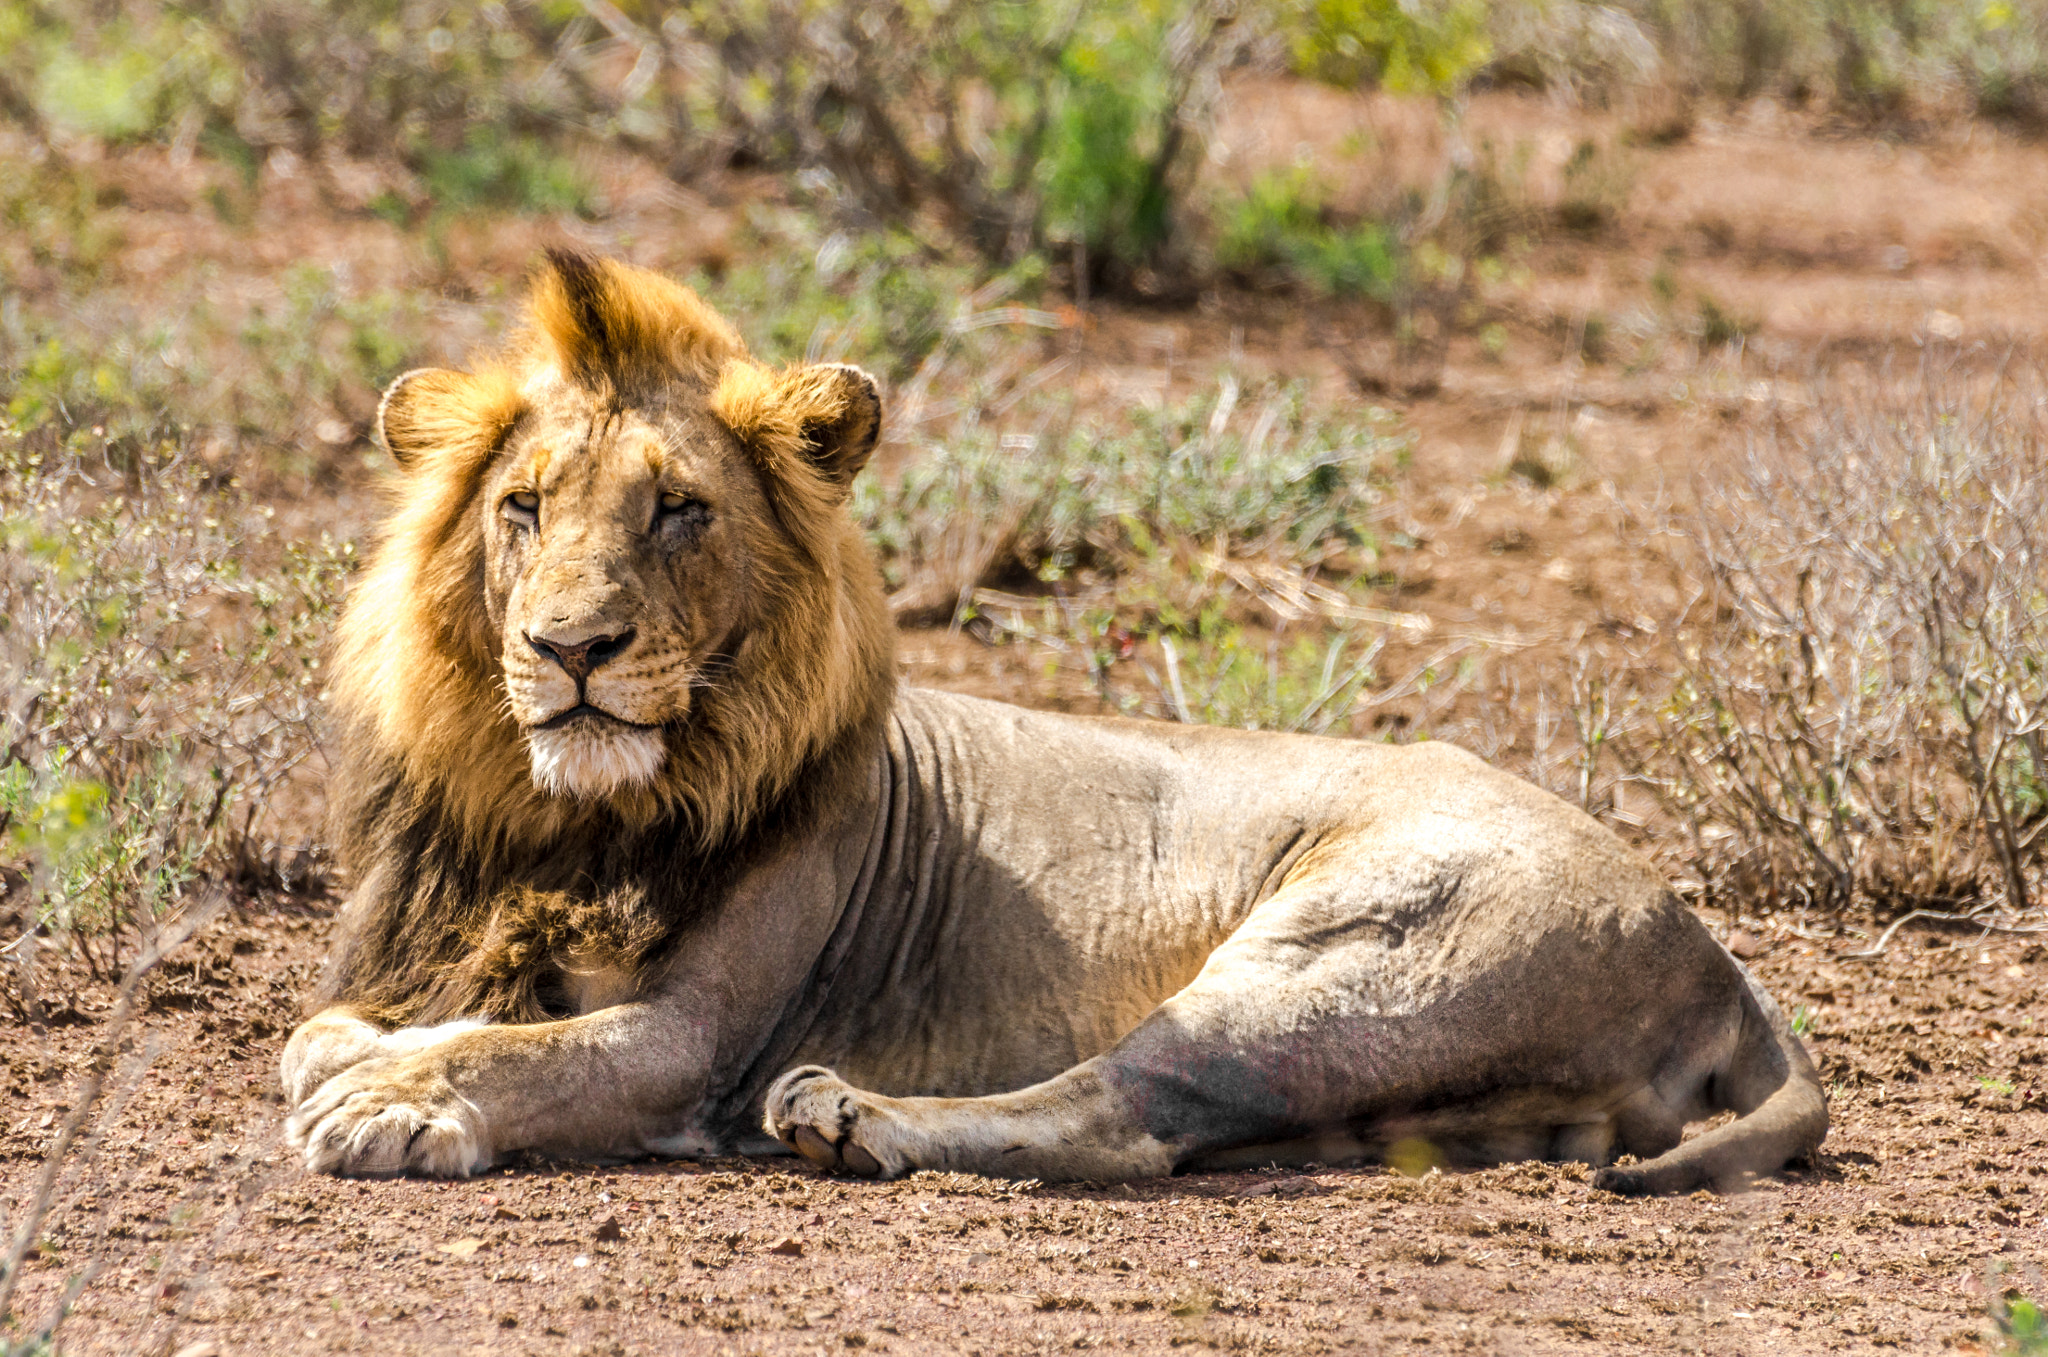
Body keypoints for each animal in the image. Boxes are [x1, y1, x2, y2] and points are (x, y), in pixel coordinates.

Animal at [282, 250, 1826, 1196]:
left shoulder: (692, 1039)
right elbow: (408, 1017)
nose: (571, 649)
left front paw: (386, 1100)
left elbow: (531, 1052)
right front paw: (359, 1049)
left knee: (1122, 1113)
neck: (580, 813)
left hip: (1341, 958)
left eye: (679, 510)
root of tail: (1706, 944)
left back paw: (845, 1119)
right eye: (522, 506)